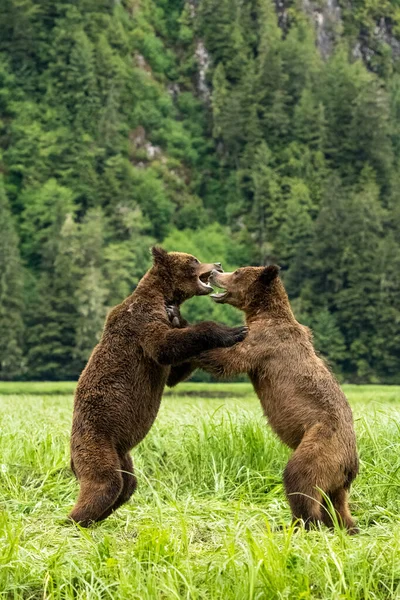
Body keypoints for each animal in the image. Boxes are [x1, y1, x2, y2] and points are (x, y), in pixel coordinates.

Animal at [70, 247, 248, 524]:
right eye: (194, 259)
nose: (218, 264)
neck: (164, 295)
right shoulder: (142, 321)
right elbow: (164, 345)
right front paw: (233, 331)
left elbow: (174, 370)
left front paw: (180, 318)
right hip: (96, 441)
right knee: (104, 484)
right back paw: (74, 520)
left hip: (121, 453)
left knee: (126, 485)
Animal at [169, 264, 360, 532]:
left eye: (237, 272)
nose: (216, 270)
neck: (260, 313)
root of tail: (351, 463)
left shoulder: (263, 343)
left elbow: (227, 359)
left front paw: (179, 320)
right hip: (337, 478)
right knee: (337, 505)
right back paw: (346, 526)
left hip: (321, 445)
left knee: (300, 479)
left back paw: (300, 525)